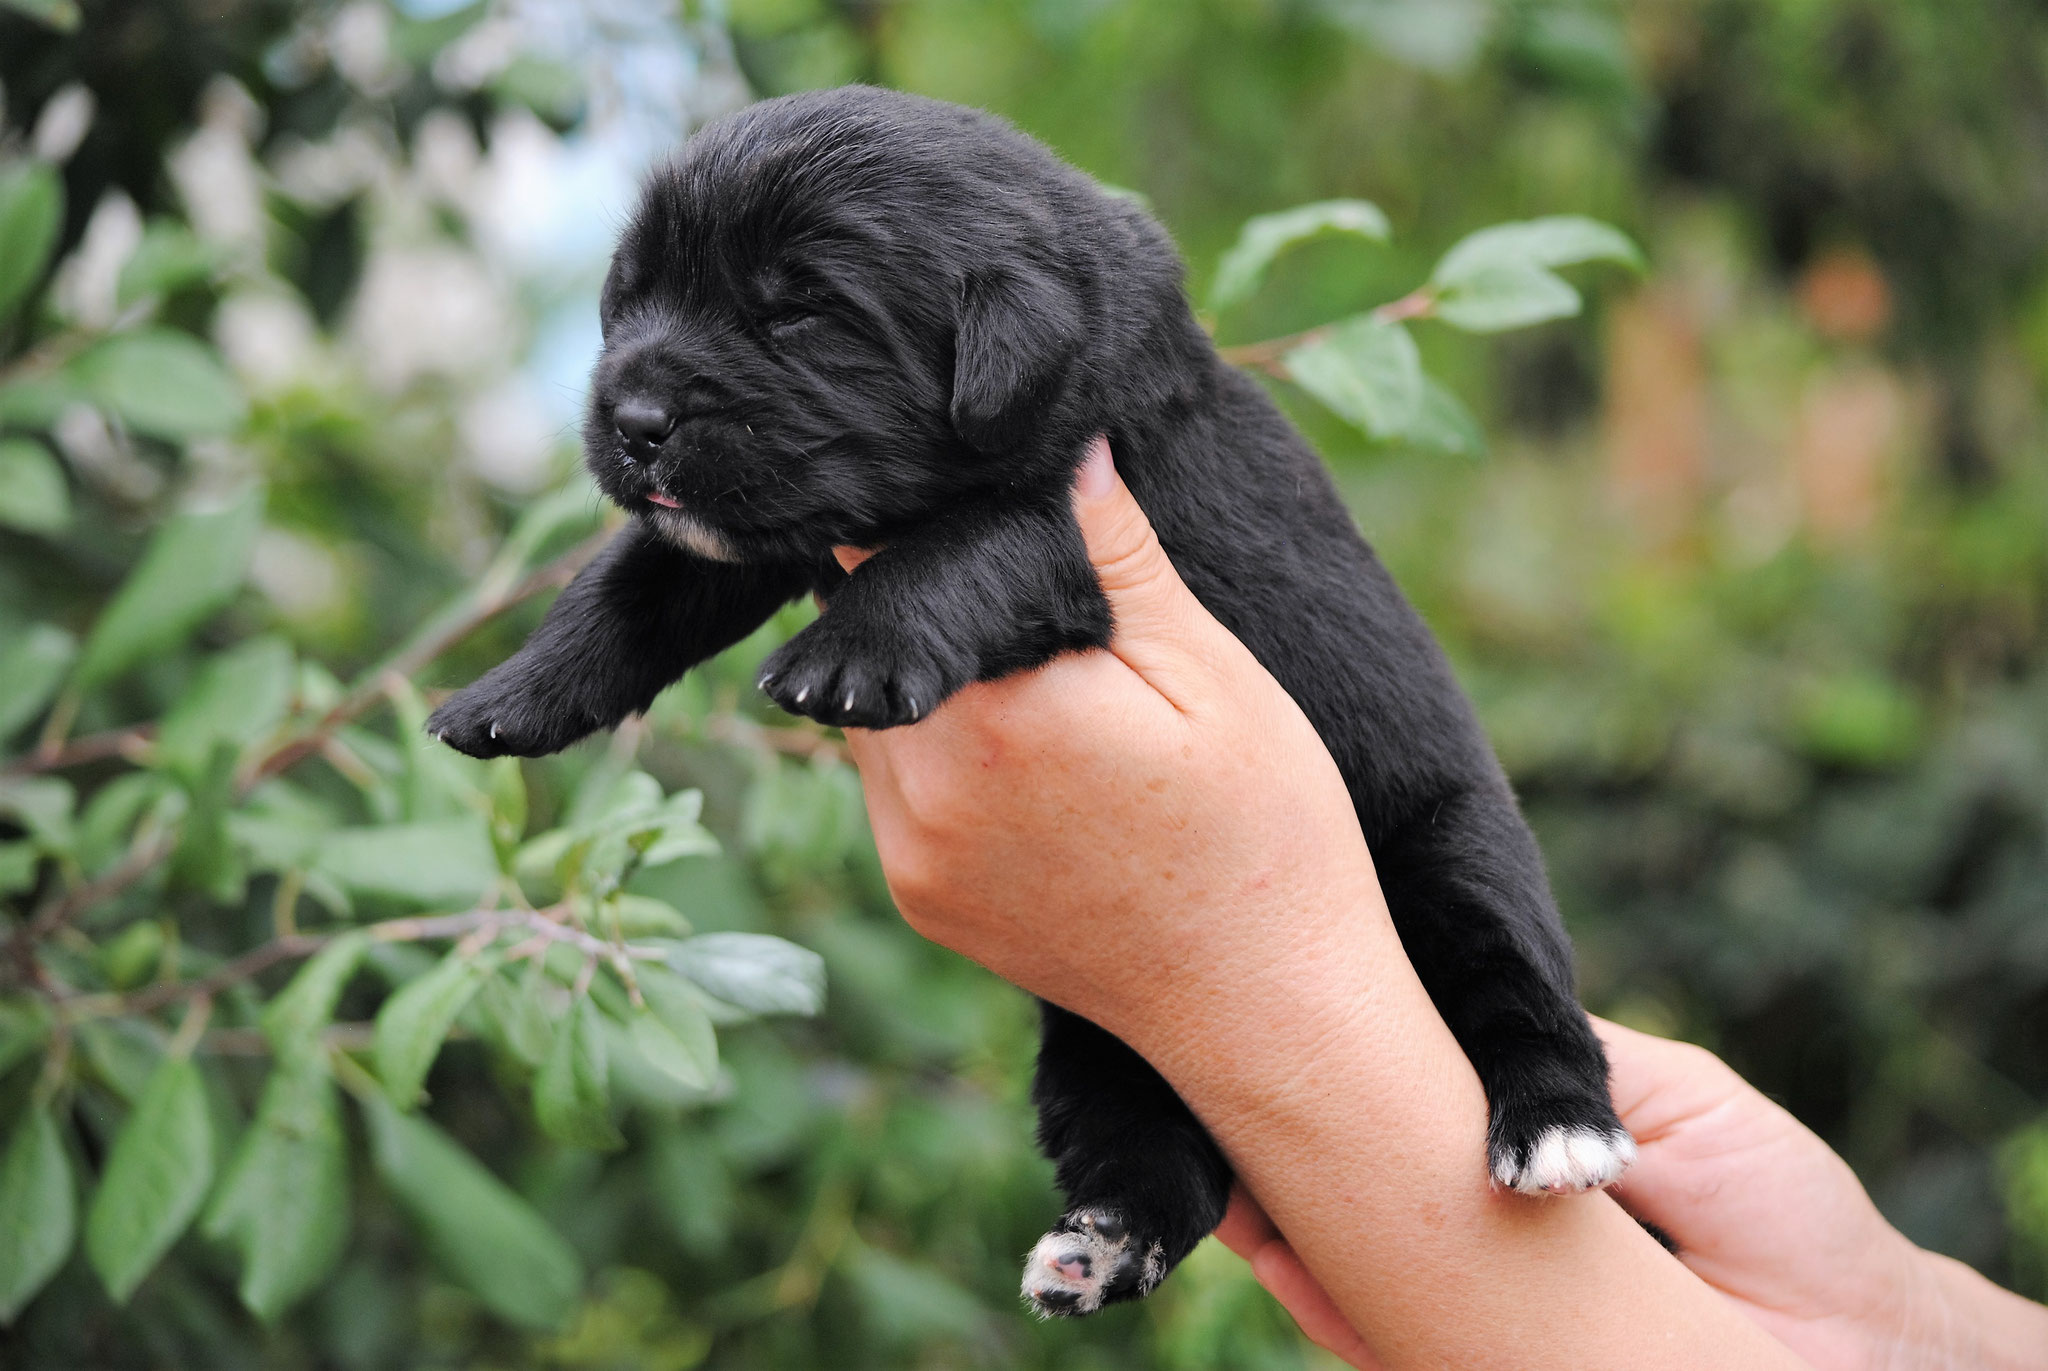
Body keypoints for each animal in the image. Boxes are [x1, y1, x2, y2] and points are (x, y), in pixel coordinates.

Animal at [432, 85, 1630, 1311]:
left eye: (799, 314)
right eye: (630, 300)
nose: (632, 417)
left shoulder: (1079, 518)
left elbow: (970, 544)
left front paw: (849, 652)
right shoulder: (746, 537)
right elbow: (632, 582)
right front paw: (508, 693)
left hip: (1458, 852)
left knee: (1516, 980)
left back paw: (1557, 1129)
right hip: (1094, 1038)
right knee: (1163, 1156)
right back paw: (1103, 1243)